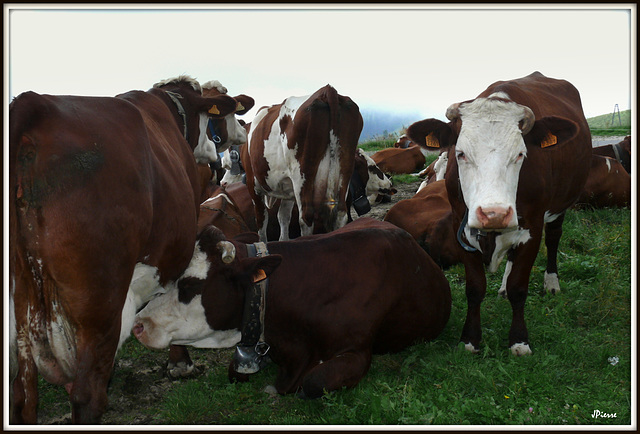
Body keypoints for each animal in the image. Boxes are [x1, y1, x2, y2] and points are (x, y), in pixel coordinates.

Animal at [8, 75, 239, 424]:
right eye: (221, 119)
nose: (219, 161)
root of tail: (33, 104)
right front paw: (180, 362)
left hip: (22, 312)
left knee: (23, 399)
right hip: (100, 299)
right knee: (87, 397)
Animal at [242, 85, 362, 241]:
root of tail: (326, 90)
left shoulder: (253, 185)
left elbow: (262, 220)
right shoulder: (287, 187)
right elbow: (283, 216)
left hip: (302, 174)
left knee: (306, 217)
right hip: (345, 169)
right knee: (341, 213)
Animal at [408, 71, 592, 356]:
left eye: (521, 154)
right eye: (460, 154)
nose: (494, 213)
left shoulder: (532, 228)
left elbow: (519, 287)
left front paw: (519, 340)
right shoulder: (461, 228)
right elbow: (475, 288)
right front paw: (469, 339)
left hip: (559, 206)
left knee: (553, 238)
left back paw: (551, 282)